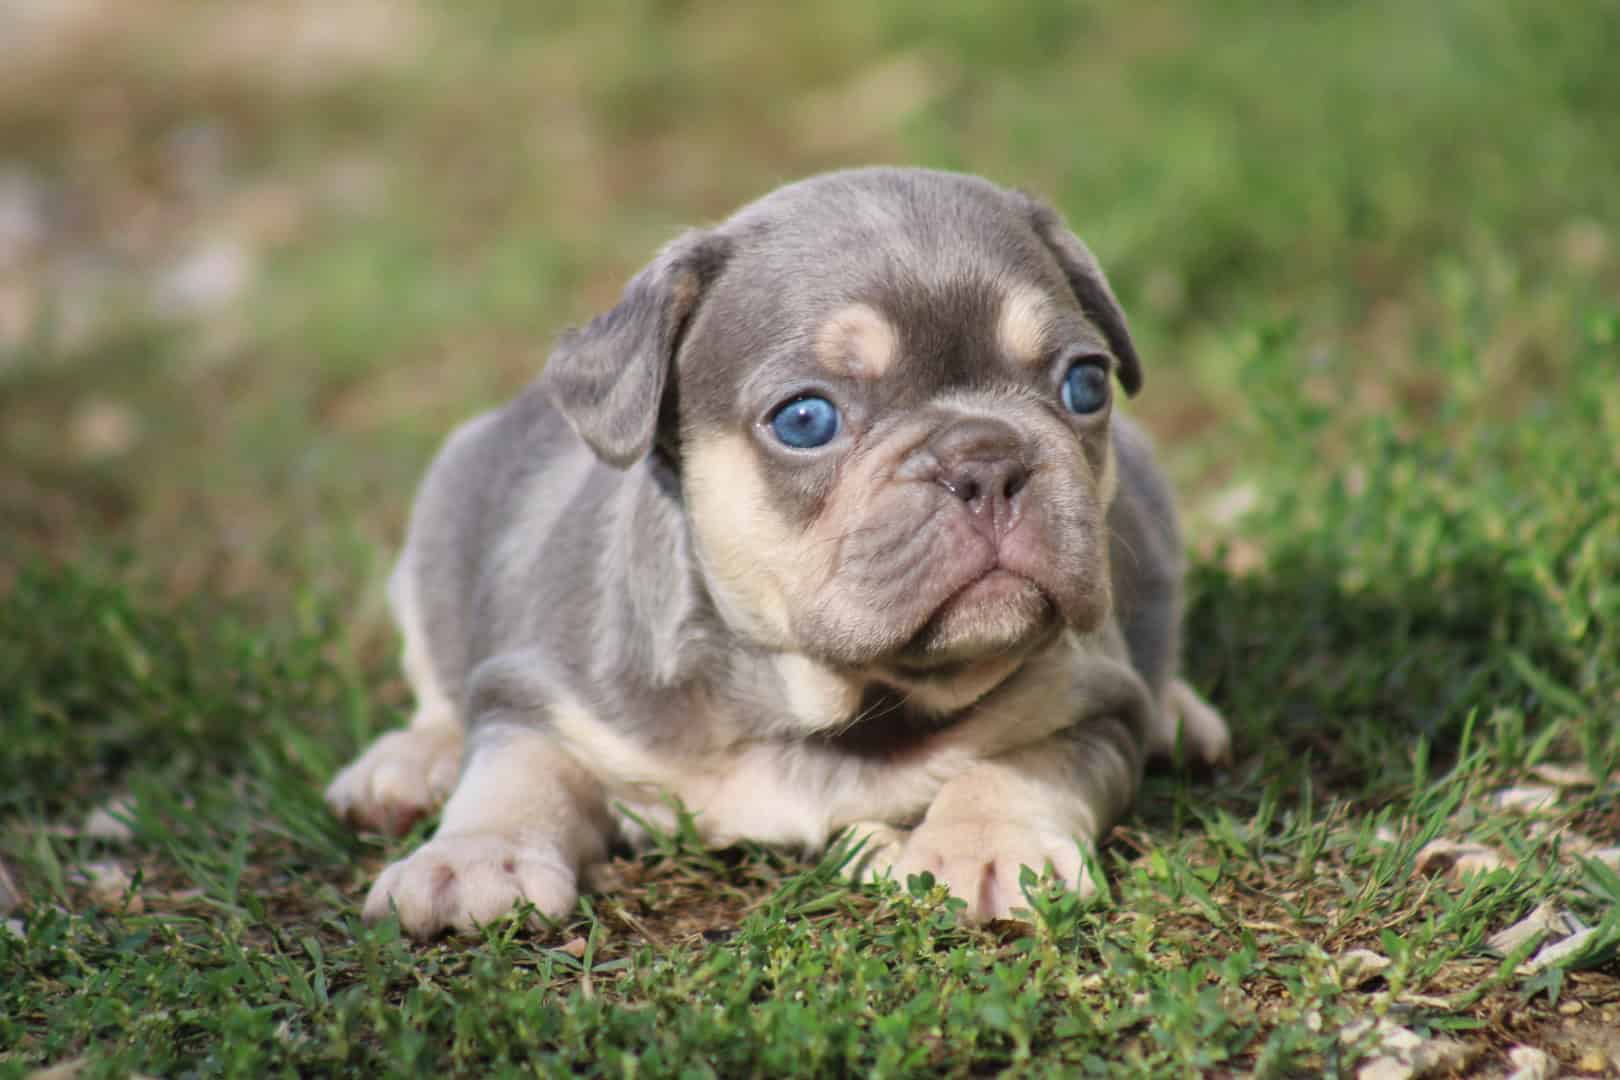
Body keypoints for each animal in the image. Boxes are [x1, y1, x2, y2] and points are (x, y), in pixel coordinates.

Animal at [332, 166, 1237, 939]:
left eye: (1085, 385)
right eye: (806, 420)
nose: (987, 462)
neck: (824, 705)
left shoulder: (1092, 698)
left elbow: (1021, 763)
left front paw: (989, 843)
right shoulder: (538, 688)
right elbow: (517, 765)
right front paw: (472, 856)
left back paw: (1180, 715)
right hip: (440, 518)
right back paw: (407, 765)